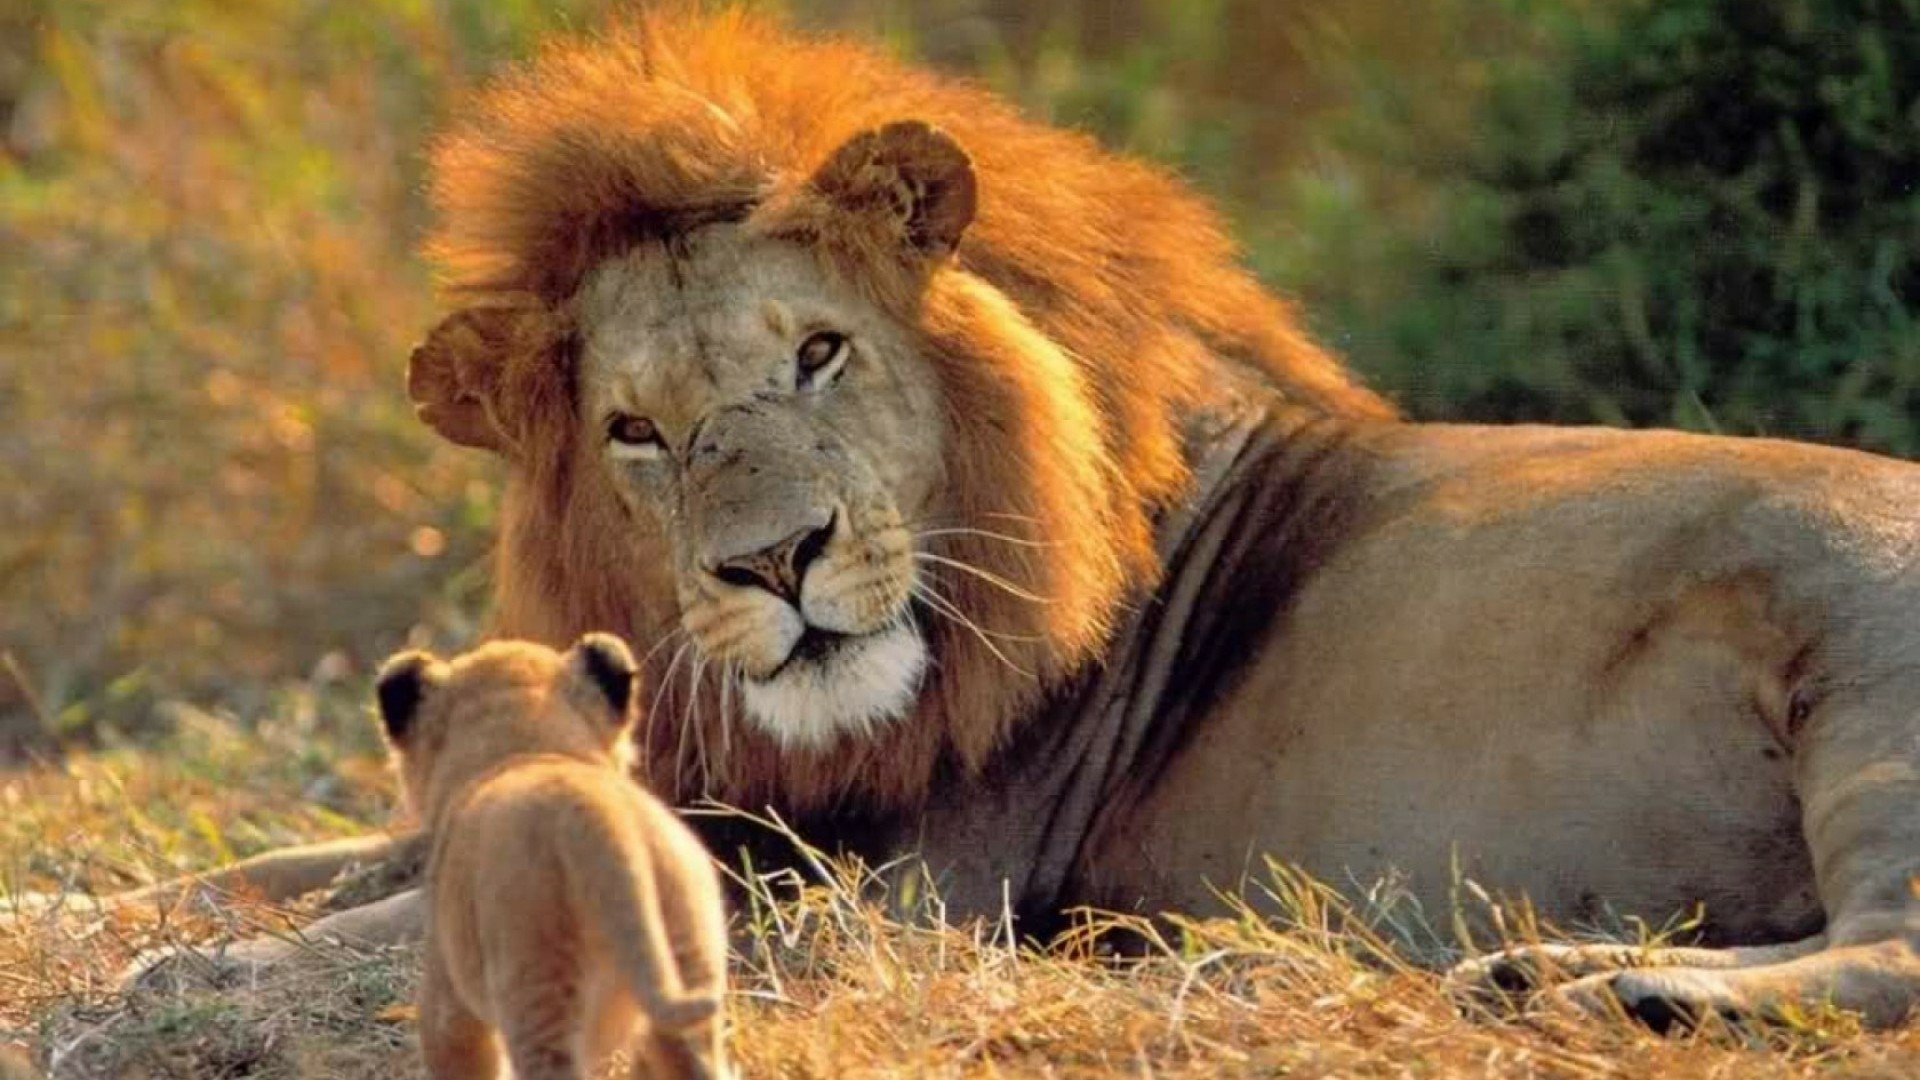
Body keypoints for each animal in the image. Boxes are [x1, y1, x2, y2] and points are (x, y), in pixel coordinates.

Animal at [126, 8, 1919, 1032]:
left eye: (818, 351)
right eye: (636, 431)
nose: (774, 562)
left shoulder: (895, 891)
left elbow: (405, 906)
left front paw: (201, 980)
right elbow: (300, 861)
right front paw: (126, 918)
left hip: (1866, 683)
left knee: (1894, 953)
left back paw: (1625, 990)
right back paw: (1543, 973)